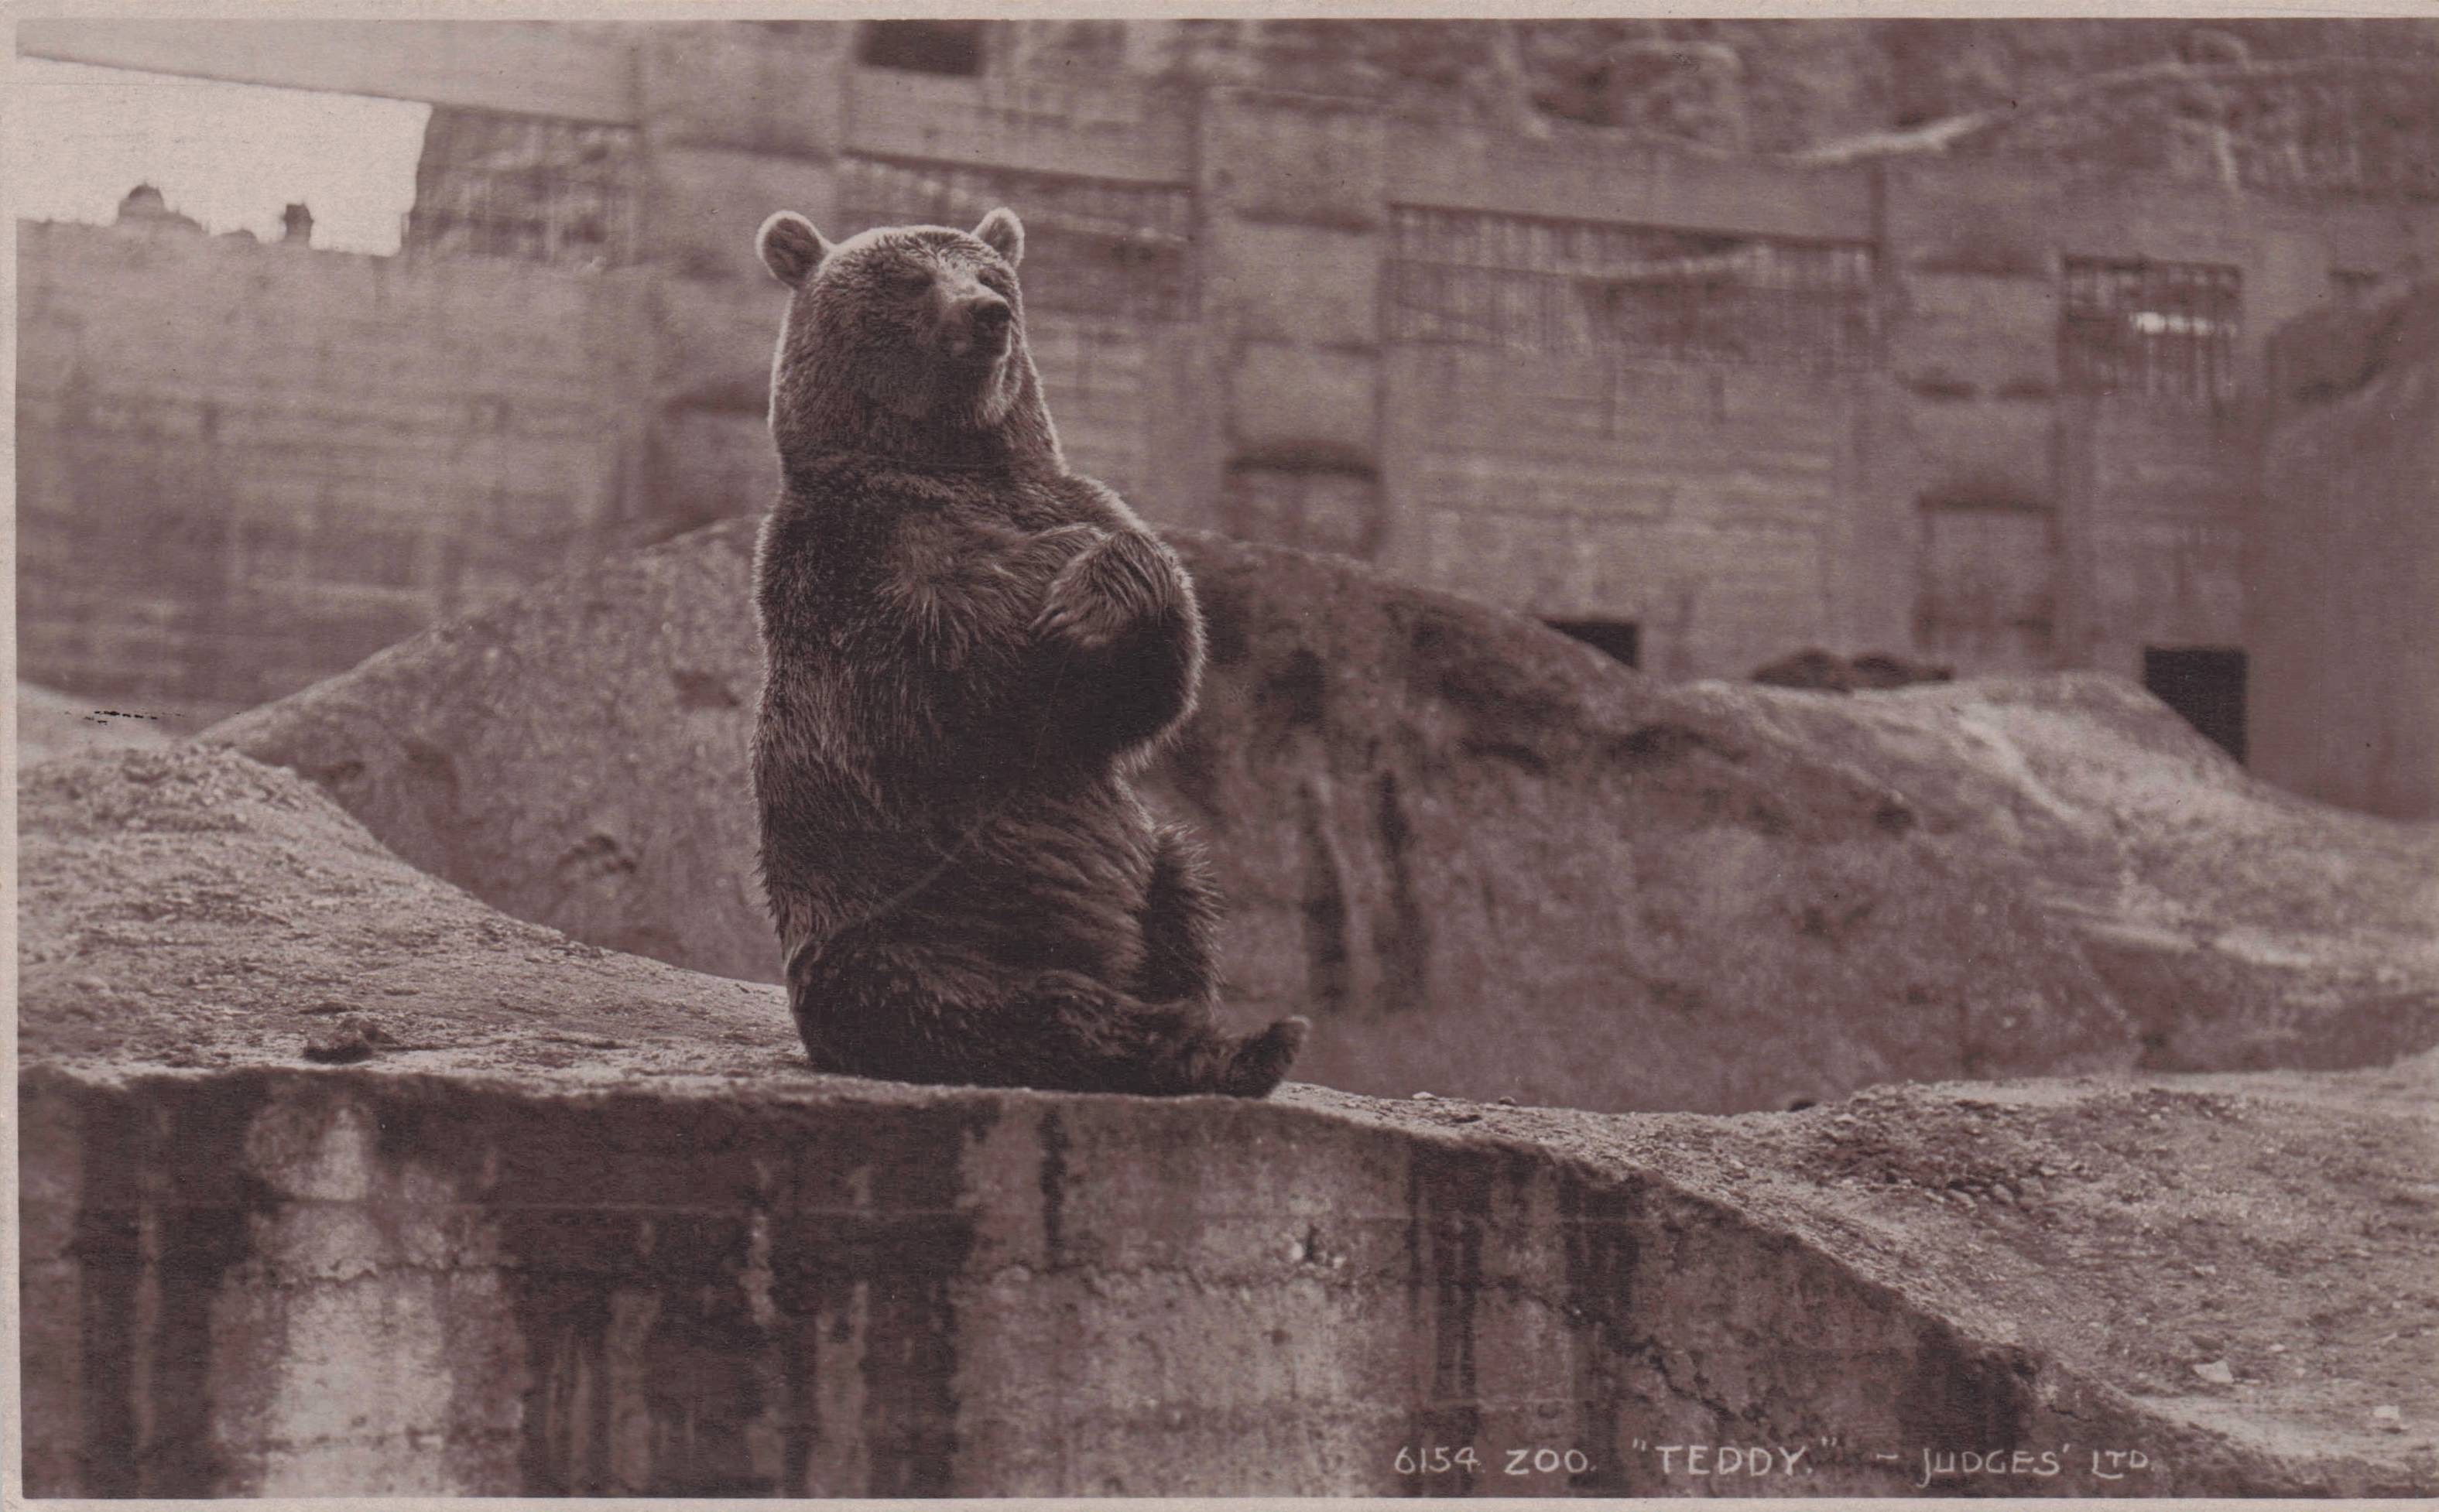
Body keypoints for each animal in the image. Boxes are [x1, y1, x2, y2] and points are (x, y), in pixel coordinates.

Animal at [748, 203, 1307, 1097]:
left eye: (991, 274)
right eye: (909, 279)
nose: (987, 316)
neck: (951, 462)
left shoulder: (1067, 496)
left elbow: (1152, 673)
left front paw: (1096, 593)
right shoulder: (849, 560)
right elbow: (943, 670)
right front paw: (1057, 591)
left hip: (1146, 872)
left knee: (1184, 887)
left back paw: (1240, 1036)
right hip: (899, 937)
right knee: (1024, 1011)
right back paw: (1198, 1038)